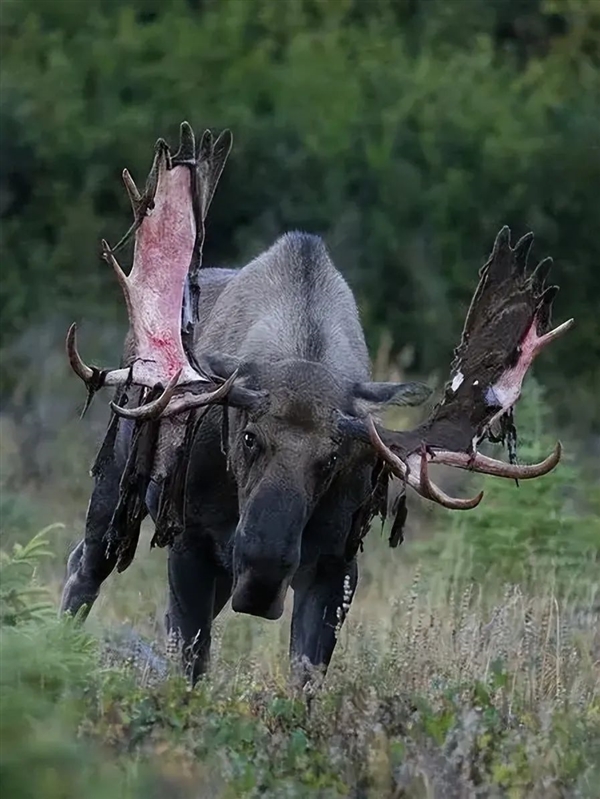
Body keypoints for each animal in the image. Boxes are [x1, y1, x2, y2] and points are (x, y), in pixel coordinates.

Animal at [61, 122, 572, 684]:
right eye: (248, 436)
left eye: (332, 459)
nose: (263, 572)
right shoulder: (190, 539)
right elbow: (189, 663)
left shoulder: (336, 562)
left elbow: (306, 675)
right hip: (116, 481)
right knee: (83, 566)